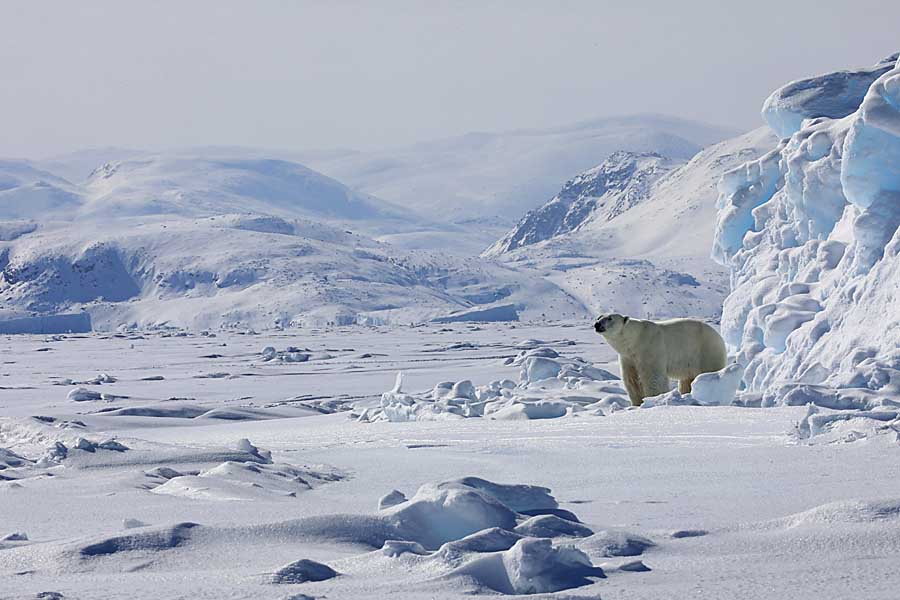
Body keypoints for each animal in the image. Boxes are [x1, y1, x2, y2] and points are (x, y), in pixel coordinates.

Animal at [596, 314, 728, 408]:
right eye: (599, 317)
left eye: (610, 318)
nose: (597, 324)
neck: (634, 340)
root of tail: (719, 336)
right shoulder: (628, 357)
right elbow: (631, 379)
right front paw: (636, 404)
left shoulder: (650, 348)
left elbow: (654, 378)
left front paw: (654, 400)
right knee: (687, 380)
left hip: (706, 351)